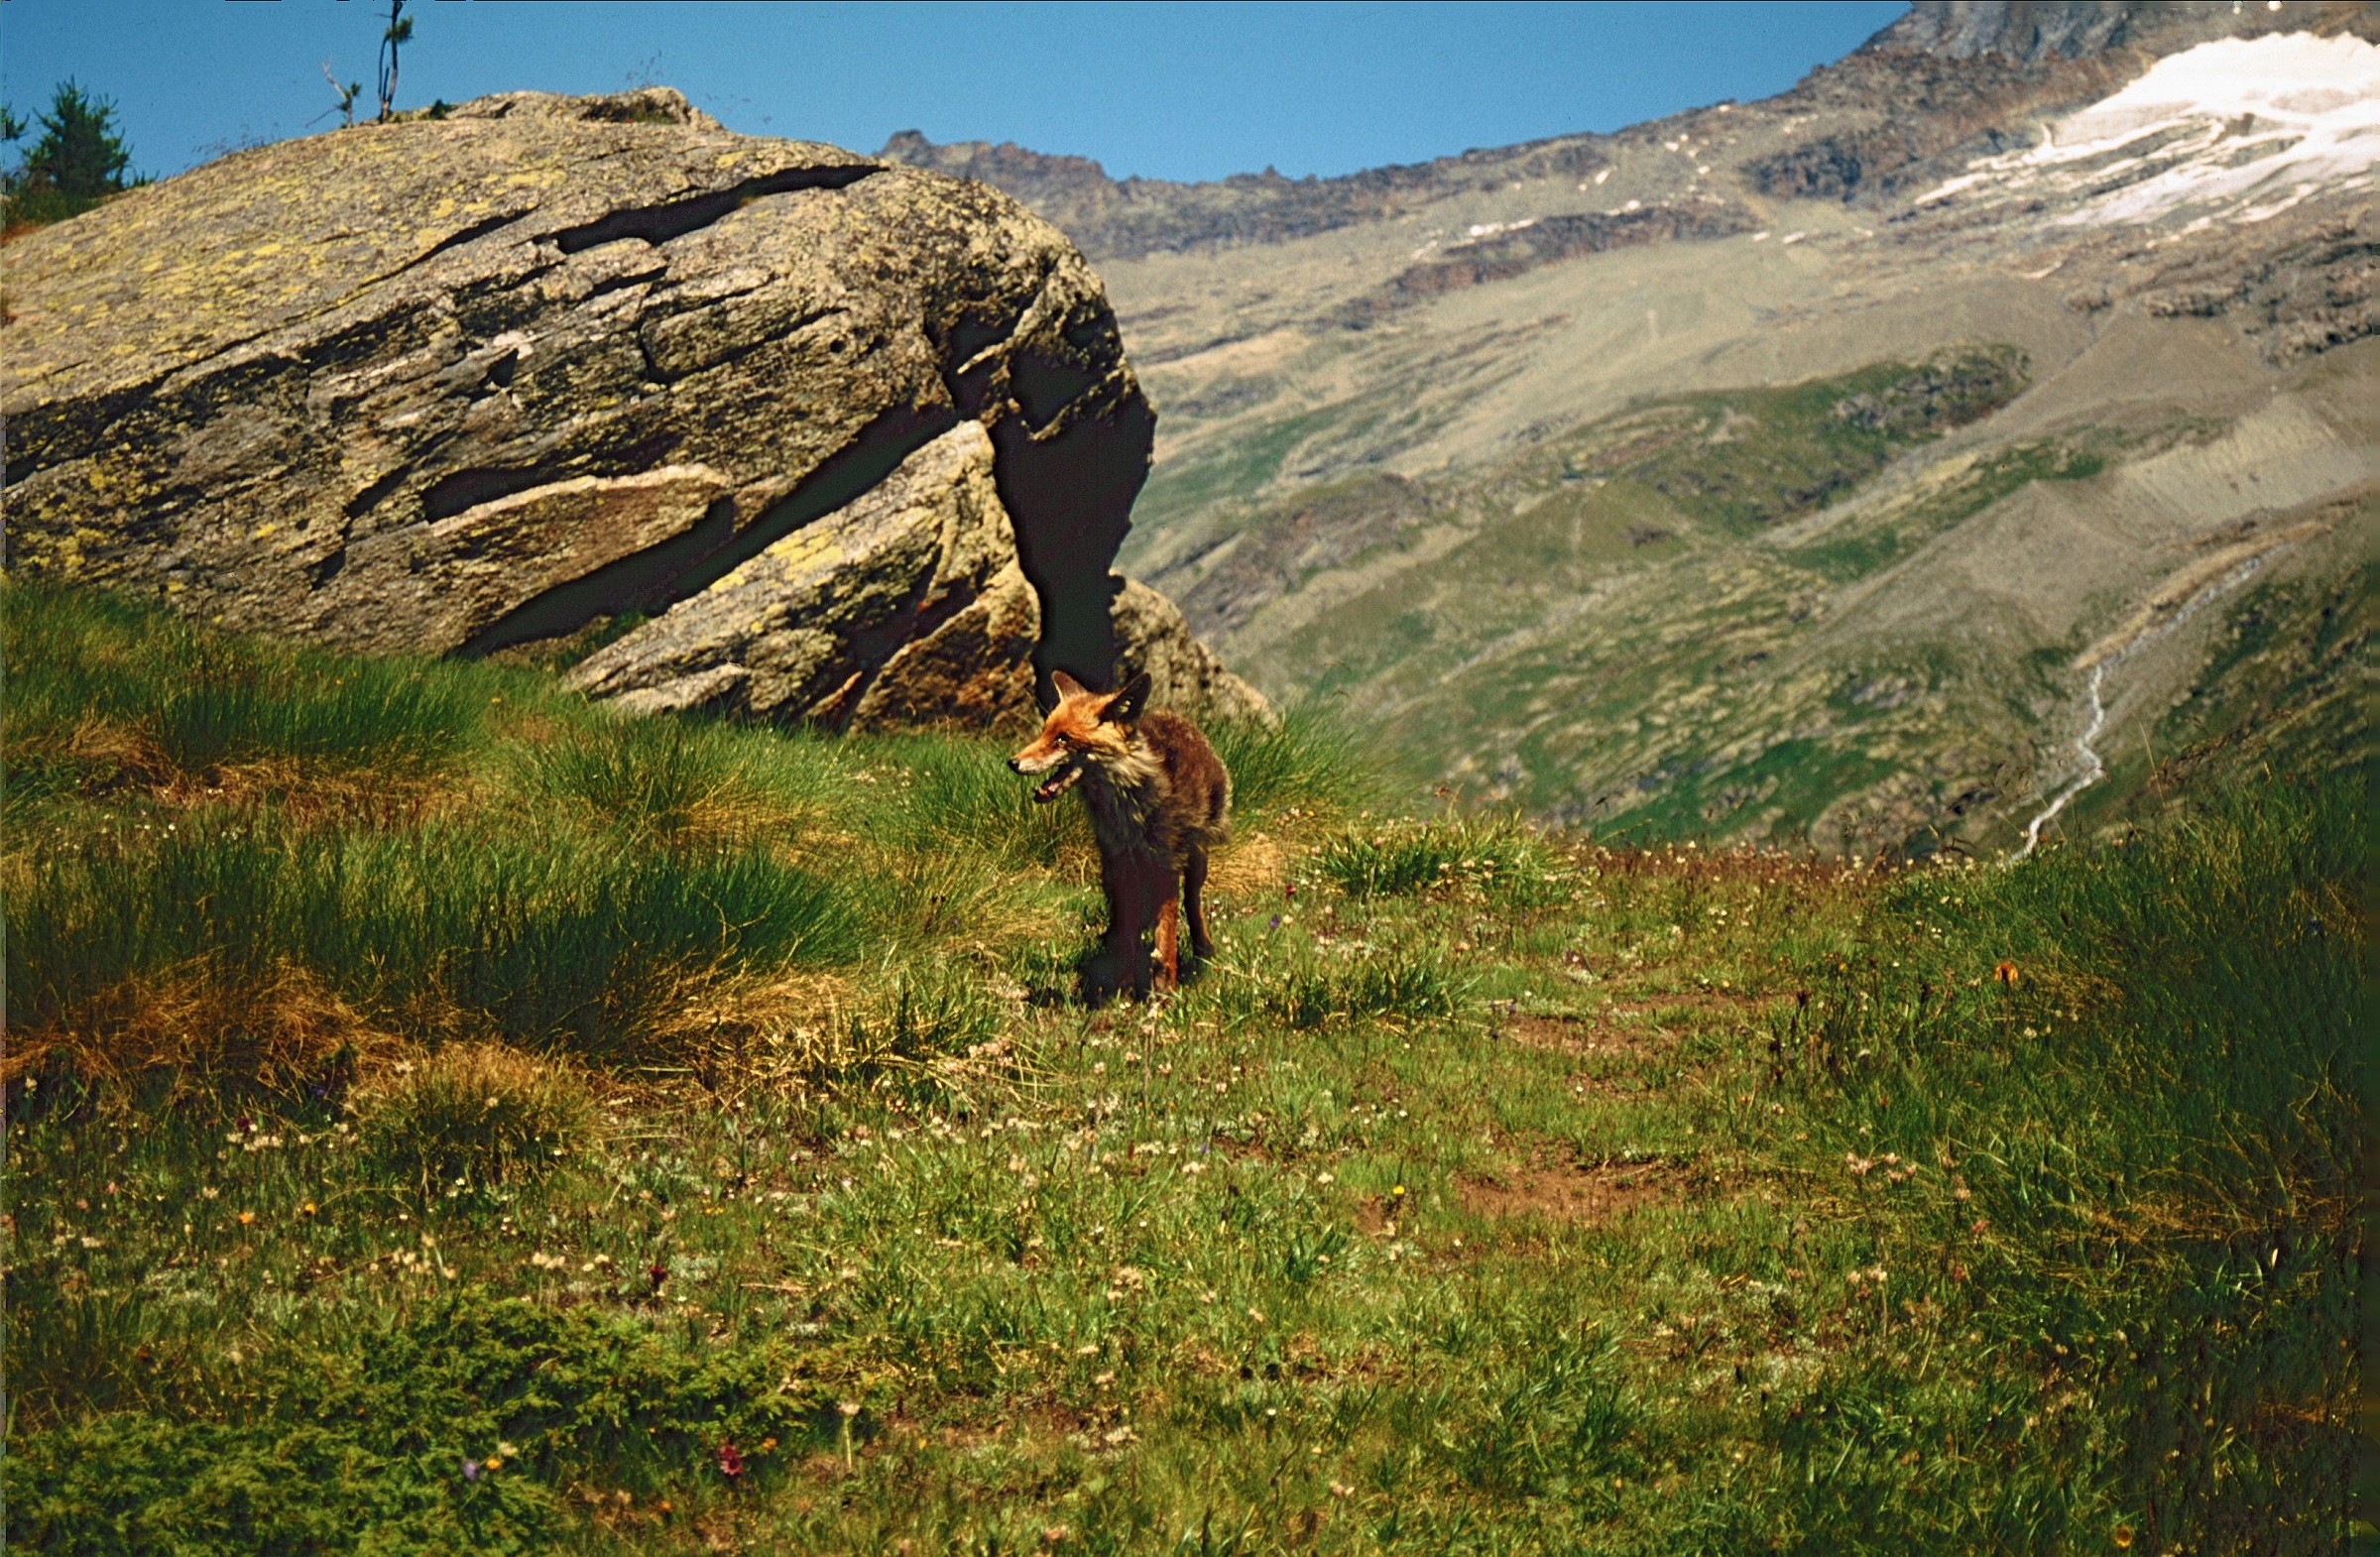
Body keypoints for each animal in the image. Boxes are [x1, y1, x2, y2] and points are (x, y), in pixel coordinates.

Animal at [1010, 669, 1231, 999]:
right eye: (1044, 733)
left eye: (1063, 738)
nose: (1012, 763)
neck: (1127, 814)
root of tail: (1171, 715)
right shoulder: (1122, 864)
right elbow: (1128, 935)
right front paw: (1123, 993)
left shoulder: (1165, 864)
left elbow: (1166, 938)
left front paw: (1164, 992)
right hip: (1111, 871)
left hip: (1195, 860)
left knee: (1193, 903)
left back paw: (1203, 949)